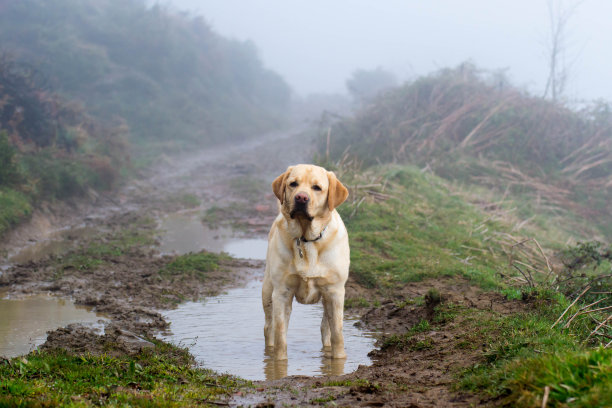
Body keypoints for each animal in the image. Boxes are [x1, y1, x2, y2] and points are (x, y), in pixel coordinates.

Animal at [262, 163, 350, 360]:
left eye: (317, 187)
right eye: (293, 184)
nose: (301, 197)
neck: (306, 239)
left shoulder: (335, 291)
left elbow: (338, 334)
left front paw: (338, 360)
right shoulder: (282, 292)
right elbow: (280, 335)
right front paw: (279, 363)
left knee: (326, 329)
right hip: (268, 292)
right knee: (269, 327)